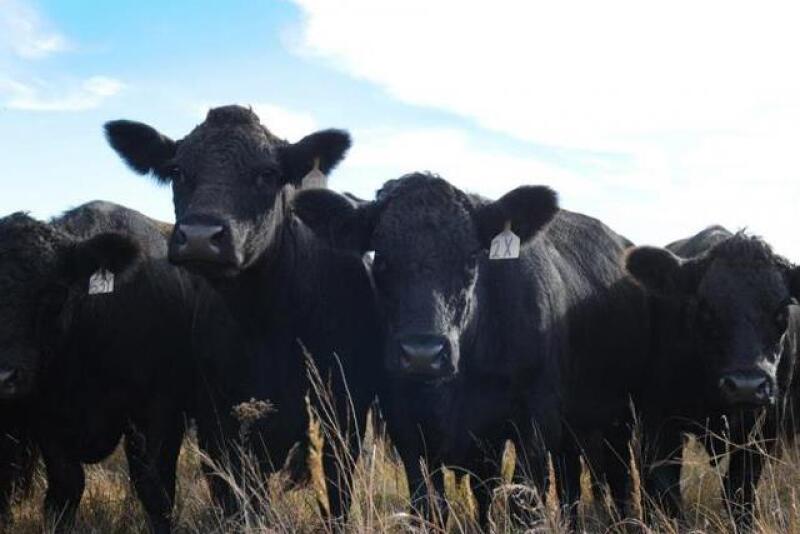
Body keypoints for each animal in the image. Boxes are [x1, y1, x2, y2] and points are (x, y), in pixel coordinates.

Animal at [0, 201, 199, 533]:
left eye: (54, 293)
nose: (4, 376)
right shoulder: (45, 417)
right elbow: (66, 487)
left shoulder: (157, 412)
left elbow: (154, 490)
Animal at [104, 105, 383, 522]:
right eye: (177, 170)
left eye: (267, 173)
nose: (200, 236)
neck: (267, 323)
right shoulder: (219, 428)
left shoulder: (341, 421)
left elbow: (336, 503)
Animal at [291, 172, 650, 525]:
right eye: (381, 259)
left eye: (470, 259)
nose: (422, 354)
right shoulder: (407, 428)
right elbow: (431, 505)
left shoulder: (535, 422)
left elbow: (520, 506)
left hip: (616, 419)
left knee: (617, 479)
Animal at [625, 226, 800, 528]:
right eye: (705, 309)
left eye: (781, 312)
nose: (746, 386)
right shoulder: (657, 423)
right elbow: (665, 494)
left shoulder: (763, 428)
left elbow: (739, 492)